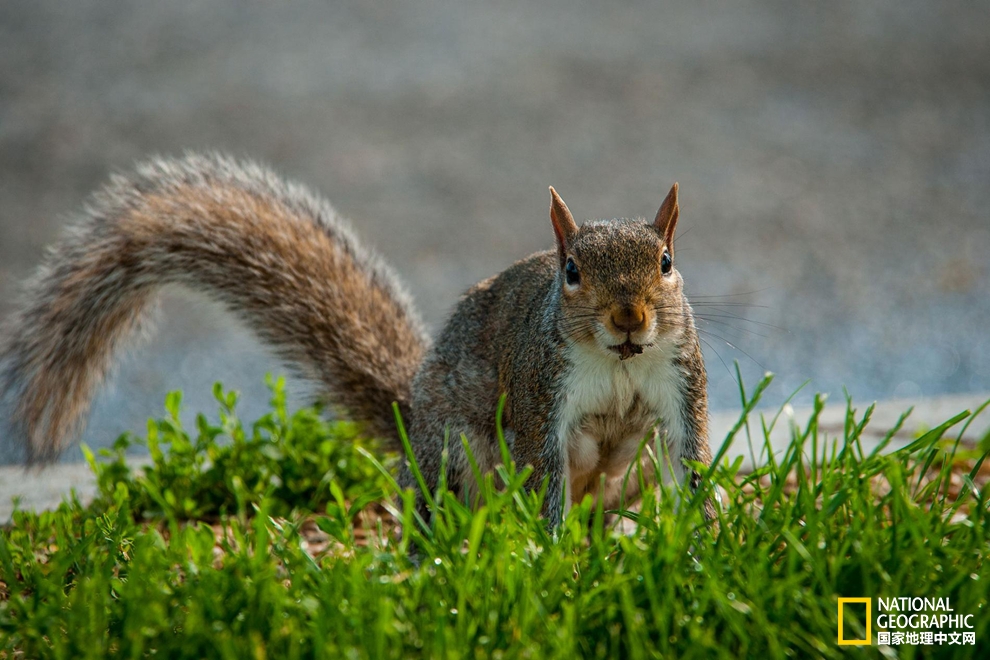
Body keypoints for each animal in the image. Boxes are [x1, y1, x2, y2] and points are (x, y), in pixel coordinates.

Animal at [0, 153, 712, 524]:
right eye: (571, 273)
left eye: (667, 263)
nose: (629, 317)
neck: (620, 362)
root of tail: (411, 419)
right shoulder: (542, 396)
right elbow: (546, 476)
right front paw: (553, 558)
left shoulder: (682, 383)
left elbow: (693, 460)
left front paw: (702, 542)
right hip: (452, 457)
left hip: (630, 473)